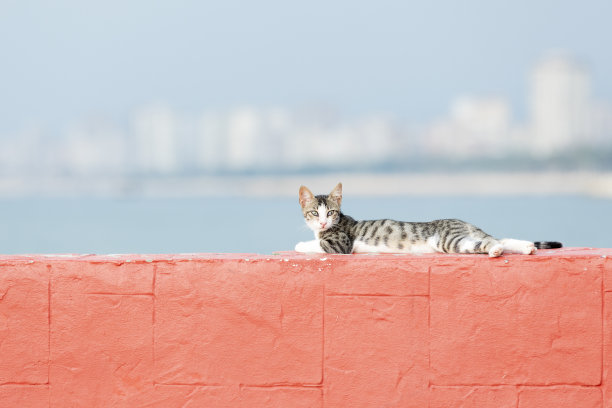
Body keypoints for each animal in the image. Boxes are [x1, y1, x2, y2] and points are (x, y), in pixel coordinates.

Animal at [294, 182, 560, 256]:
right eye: (314, 212)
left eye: (330, 212)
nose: (322, 222)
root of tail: (463, 223)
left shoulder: (339, 243)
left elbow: (314, 244)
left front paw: (301, 244)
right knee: (502, 239)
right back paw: (526, 247)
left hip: (451, 240)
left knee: (494, 243)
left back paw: (495, 251)